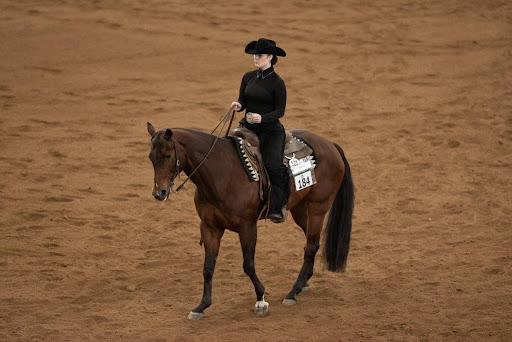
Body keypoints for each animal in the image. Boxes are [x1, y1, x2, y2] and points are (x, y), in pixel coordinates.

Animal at [145, 121, 352, 320]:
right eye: (151, 157)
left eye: (167, 155)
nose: (159, 193)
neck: (222, 174)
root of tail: (330, 145)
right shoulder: (210, 227)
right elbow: (208, 267)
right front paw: (201, 306)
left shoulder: (248, 227)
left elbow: (248, 265)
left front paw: (261, 300)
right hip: (300, 209)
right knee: (311, 243)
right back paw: (303, 284)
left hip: (318, 207)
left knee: (311, 246)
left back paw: (292, 293)